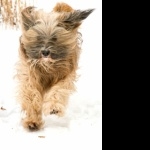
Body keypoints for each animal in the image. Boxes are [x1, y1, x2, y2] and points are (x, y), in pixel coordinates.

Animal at [15, 2, 94, 131]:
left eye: (55, 38)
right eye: (38, 38)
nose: (45, 52)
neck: (48, 66)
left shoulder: (66, 76)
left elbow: (58, 91)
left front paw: (54, 108)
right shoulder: (29, 76)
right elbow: (31, 95)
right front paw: (33, 120)